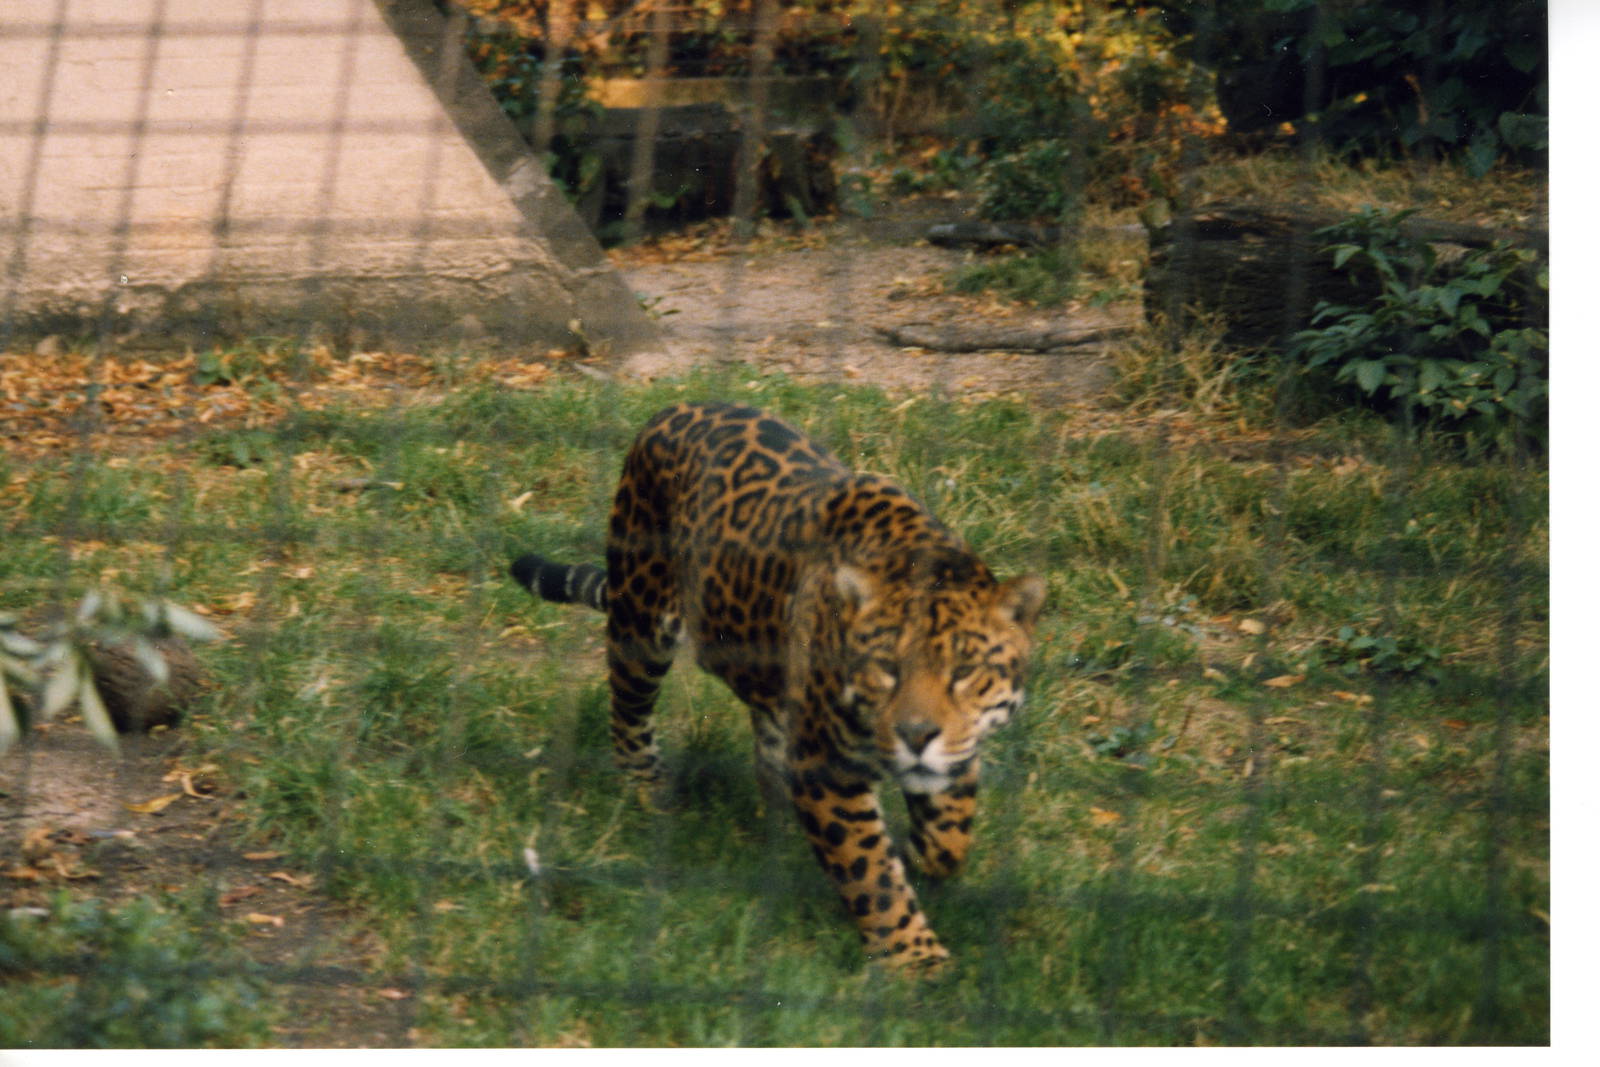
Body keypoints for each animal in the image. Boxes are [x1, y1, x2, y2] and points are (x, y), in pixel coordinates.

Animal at [511, 402, 1045, 970]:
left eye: (965, 672)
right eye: (886, 668)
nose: (917, 735)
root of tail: (672, 409)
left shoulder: (957, 747)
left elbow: (950, 834)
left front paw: (923, 854)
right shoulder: (825, 768)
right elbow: (870, 871)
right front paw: (914, 958)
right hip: (643, 616)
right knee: (627, 711)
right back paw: (650, 789)